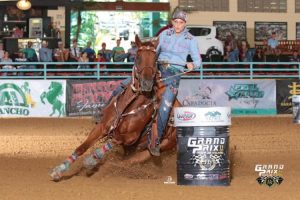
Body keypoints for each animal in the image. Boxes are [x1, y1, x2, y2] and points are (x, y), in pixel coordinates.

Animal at [50, 34, 179, 181]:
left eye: (155, 59)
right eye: (138, 57)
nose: (146, 84)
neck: (130, 105)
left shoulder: (130, 137)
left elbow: (113, 141)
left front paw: (92, 160)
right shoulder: (101, 127)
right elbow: (81, 148)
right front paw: (59, 169)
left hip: (158, 147)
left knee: (129, 162)